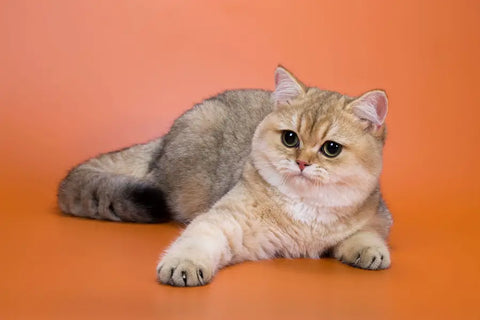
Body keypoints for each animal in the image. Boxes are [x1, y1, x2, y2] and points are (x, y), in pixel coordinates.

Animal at [58, 66, 392, 286]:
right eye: (290, 138)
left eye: (331, 149)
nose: (301, 163)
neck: (306, 211)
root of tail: (163, 140)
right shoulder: (228, 219)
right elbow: (199, 237)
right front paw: (184, 264)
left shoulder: (377, 217)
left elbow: (367, 234)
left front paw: (371, 251)